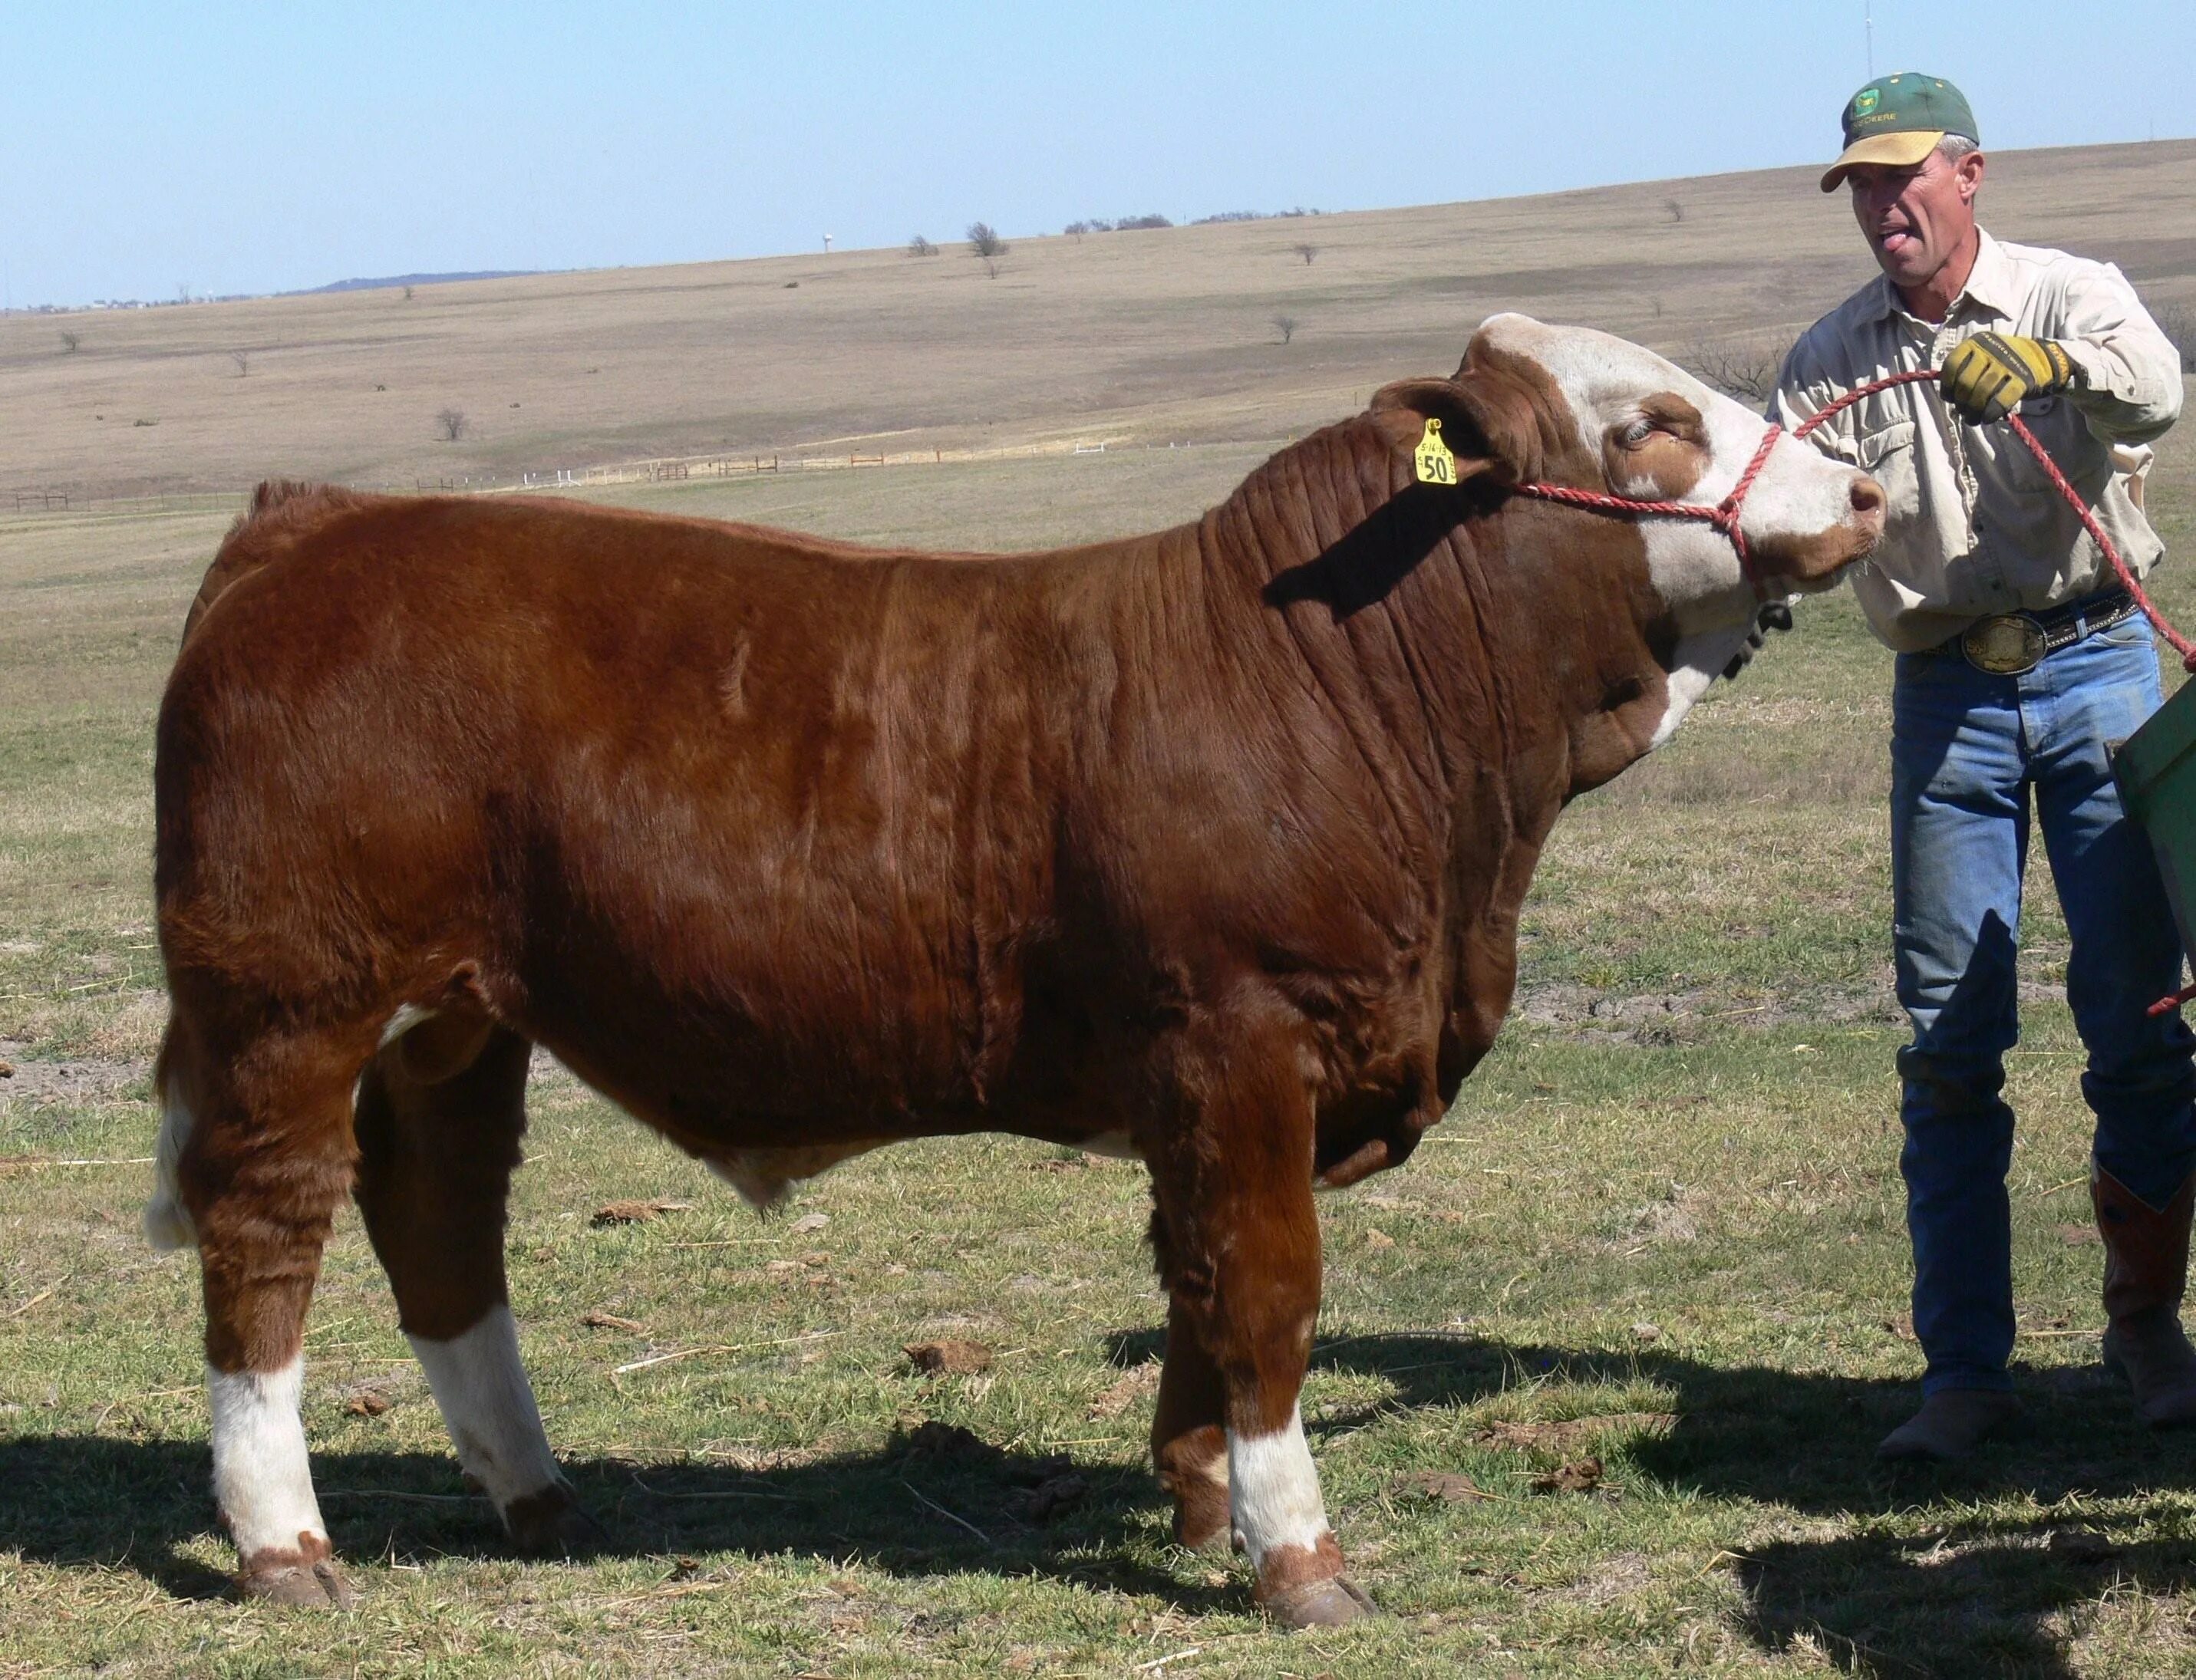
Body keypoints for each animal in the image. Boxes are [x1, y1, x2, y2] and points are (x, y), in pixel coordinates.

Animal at [146, 314, 1879, 1625]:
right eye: (1652, 423)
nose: (1862, 489)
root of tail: (320, 521)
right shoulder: (1240, 1035)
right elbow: (1265, 1286)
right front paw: (1298, 1558)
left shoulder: (1218, 1077)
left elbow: (1193, 1272)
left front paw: (1199, 1498)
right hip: (292, 999)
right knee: (268, 1231)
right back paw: (284, 1543)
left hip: (457, 1017)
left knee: (440, 1214)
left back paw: (536, 1493)